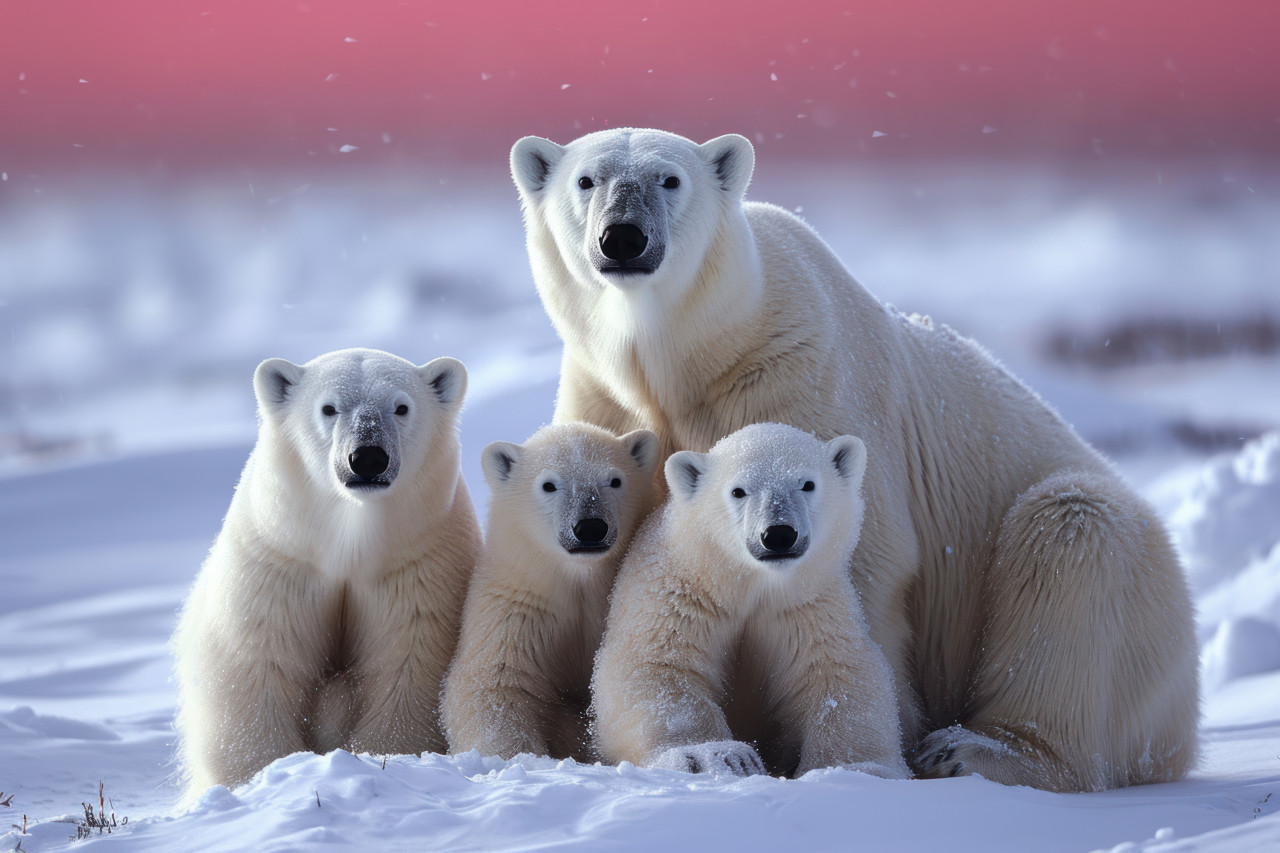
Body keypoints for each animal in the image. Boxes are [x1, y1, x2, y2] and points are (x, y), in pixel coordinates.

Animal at [172, 347, 480, 799]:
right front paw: (261, 775)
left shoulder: (417, 567)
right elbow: (258, 665)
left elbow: (407, 665)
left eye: (401, 407)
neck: (348, 544)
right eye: (329, 408)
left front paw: (384, 757)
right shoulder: (281, 564)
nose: (367, 457)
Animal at [440, 422, 660, 762]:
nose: (590, 528)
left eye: (615, 480)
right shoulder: (519, 606)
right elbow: (496, 681)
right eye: (548, 485)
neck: (580, 581)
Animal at [591, 422, 910, 780]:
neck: (748, 585)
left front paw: (857, 768)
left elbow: (840, 673)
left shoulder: (808, 605)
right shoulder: (679, 594)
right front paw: (717, 756)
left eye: (807, 484)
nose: (779, 535)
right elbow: (656, 665)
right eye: (738, 491)